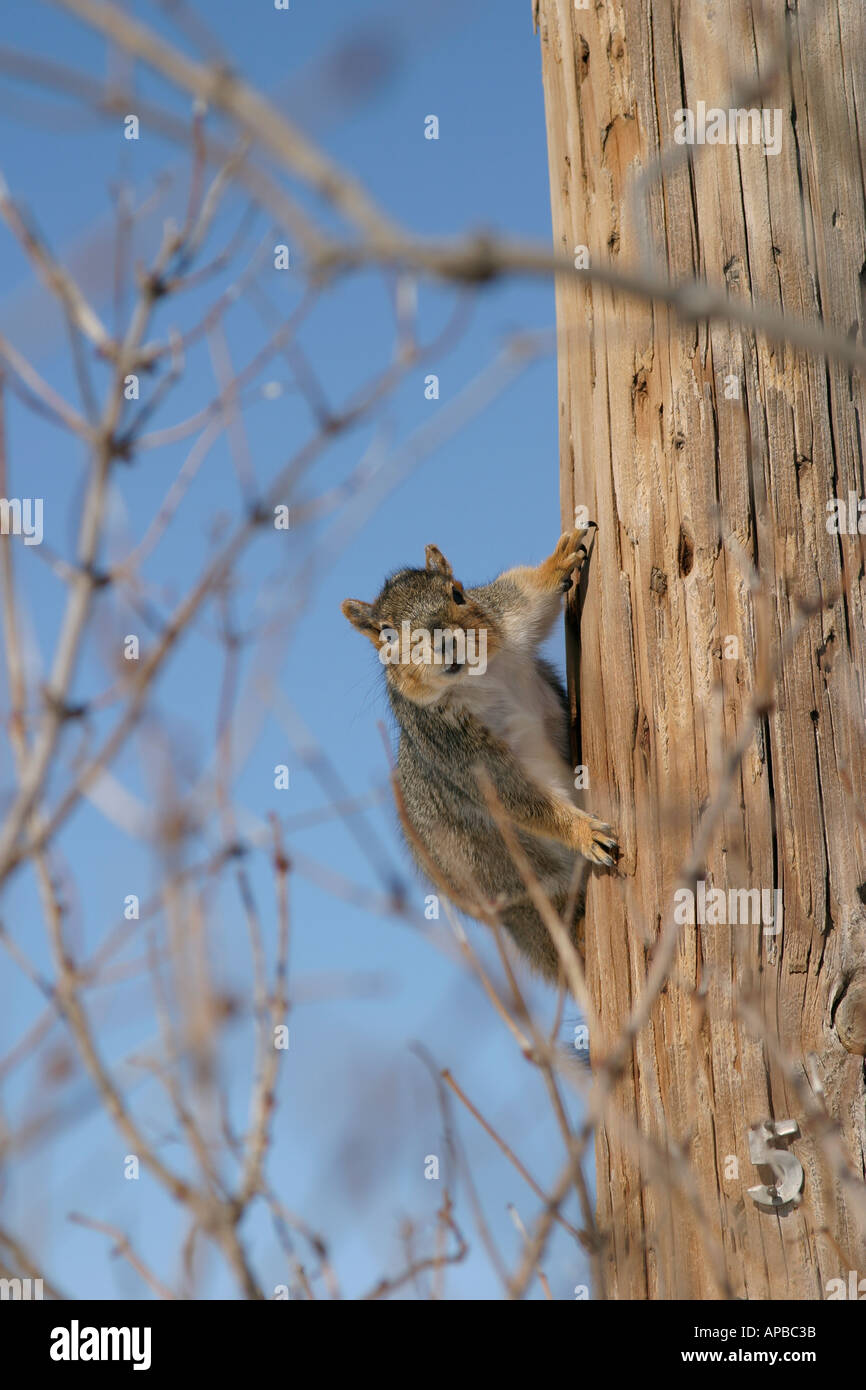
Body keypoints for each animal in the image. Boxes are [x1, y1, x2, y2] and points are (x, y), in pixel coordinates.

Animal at [341, 527, 618, 983]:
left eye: (457, 593)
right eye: (386, 635)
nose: (443, 640)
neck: (475, 678)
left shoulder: (506, 616)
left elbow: (531, 593)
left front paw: (561, 559)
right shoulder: (459, 752)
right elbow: (522, 799)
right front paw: (583, 831)